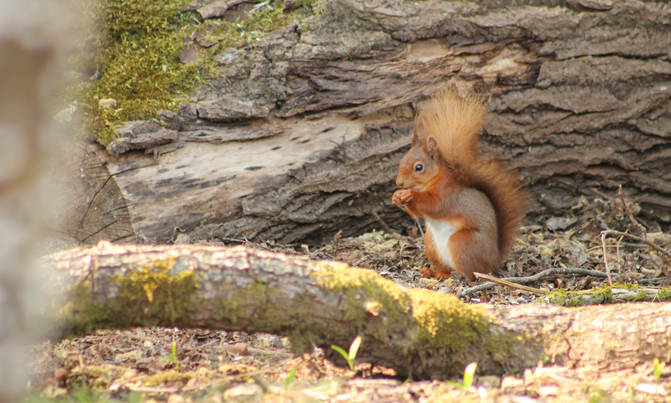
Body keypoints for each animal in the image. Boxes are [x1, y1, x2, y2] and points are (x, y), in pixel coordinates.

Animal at [392, 89, 528, 282]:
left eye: (419, 167)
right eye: (401, 161)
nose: (400, 183)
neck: (430, 182)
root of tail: (493, 259)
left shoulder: (447, 193)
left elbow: (436, 206)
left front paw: (410, 194)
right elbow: (418, 213)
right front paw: (396, 196)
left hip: (462, 242)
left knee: (471, 274)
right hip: (431, 243)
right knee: (448, 270)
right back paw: (435, 272)